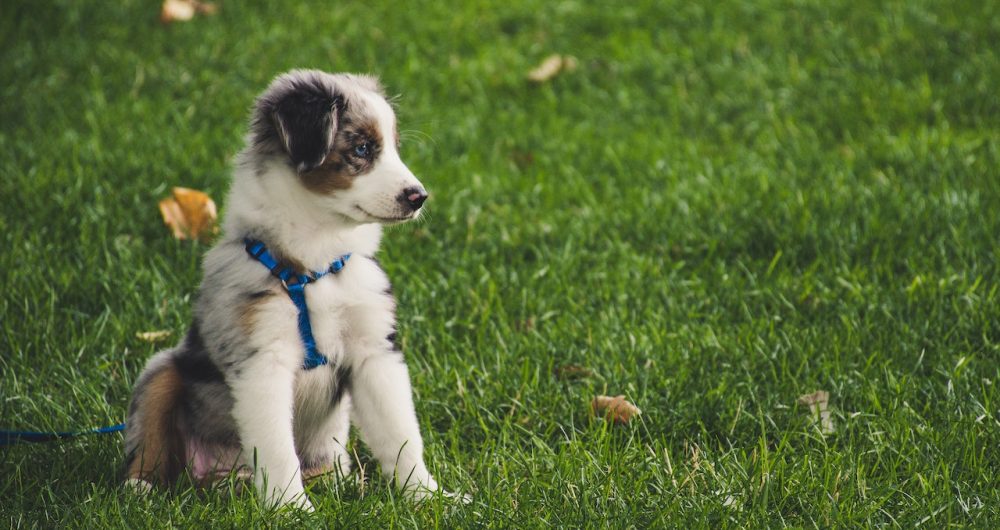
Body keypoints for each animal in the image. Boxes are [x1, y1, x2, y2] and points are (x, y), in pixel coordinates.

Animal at [122, 69, 460, 508]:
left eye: (394, 149)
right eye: (363, 148)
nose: (419, 197)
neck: (315, 263)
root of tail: (222, 476)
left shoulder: (374, 350)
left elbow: (400, 433)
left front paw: (429, 497)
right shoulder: (262, 359)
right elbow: (277, 447)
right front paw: (291, 509)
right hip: (162, 370)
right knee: (150, 436)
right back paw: (139, 486)